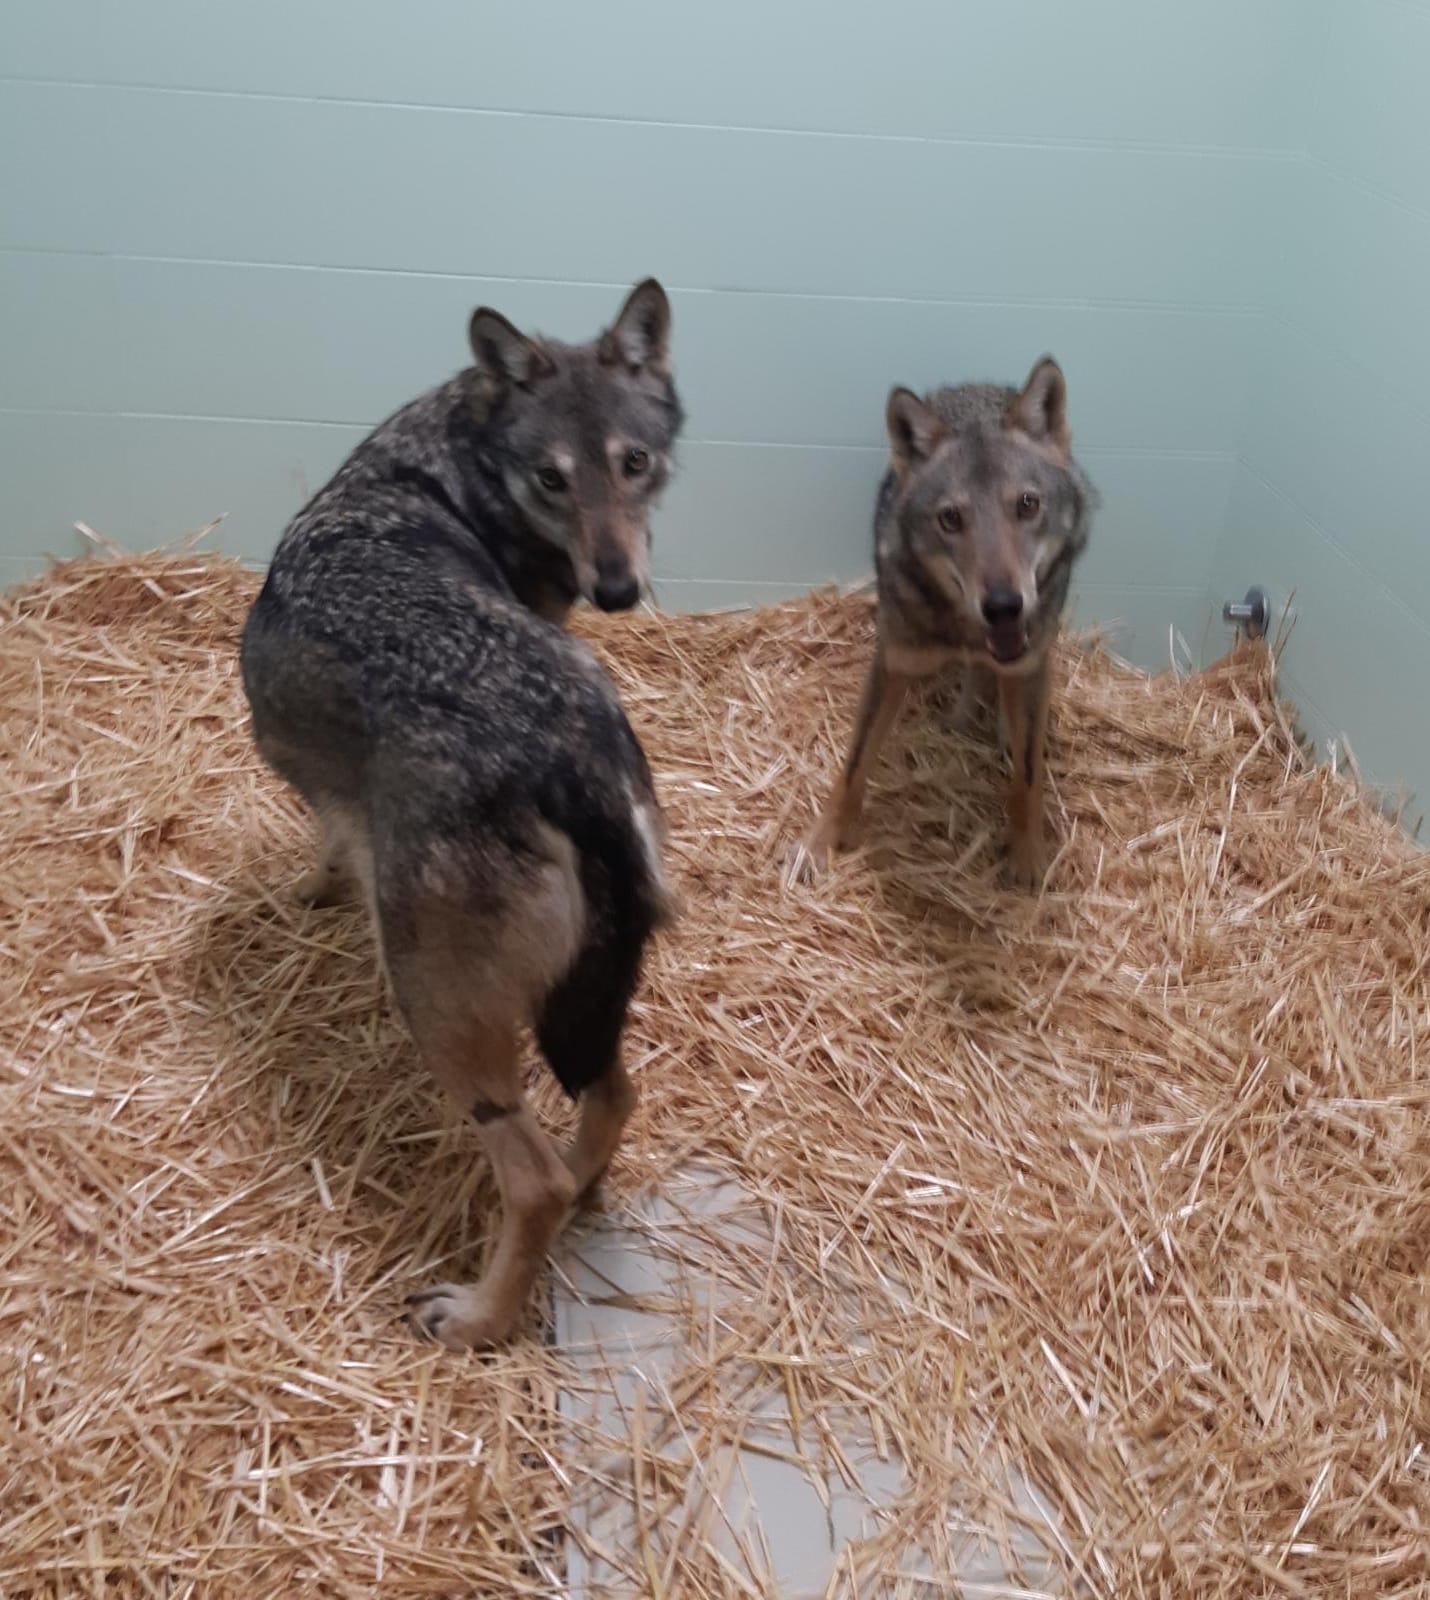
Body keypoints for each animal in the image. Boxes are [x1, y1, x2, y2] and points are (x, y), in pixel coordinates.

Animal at [240, 280, 683, 1349]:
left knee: (530, 1180)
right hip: (585, 1003)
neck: (447, 469)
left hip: (437, 1010)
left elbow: (325, 840)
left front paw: (310, 893)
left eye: (633, 464)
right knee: (612, 1099)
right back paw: (585, 1191)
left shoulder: (330, 797)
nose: (617, 589)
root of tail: (565, 754)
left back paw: (478, 1317)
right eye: (553, 479)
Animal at [800, 358, 1094, 889]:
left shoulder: (1027, 661)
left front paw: (1027, 856)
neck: (967, 632)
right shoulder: (893, 661)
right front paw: (820, 843)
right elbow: (853, 764)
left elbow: (1028, 775)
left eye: (1027, 504)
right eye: (951, 519)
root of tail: (976, 386)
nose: (1003, 605)